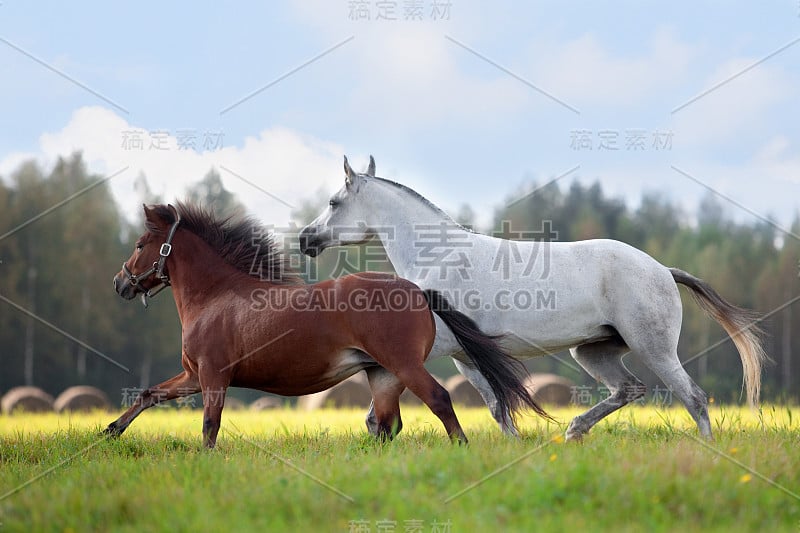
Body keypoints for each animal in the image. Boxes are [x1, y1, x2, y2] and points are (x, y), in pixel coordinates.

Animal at [106, 203, 548, 444]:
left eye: (141, 245)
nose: (120, 283)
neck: (215, 297)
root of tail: (419, 292)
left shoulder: (214, 376)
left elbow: (209, 427)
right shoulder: (193, 376)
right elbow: (148, 394)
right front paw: (110, 431)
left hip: (403, 366)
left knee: (438, 400)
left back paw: (461, 447)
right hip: (383, 375)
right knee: (387, 424)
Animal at [296, 155, 764, 440]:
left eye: (334, 202)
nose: (305, 239)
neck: (437, 256)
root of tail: (663, 270)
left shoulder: (436, 348)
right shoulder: (466, 358)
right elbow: (497, 407)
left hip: (655, 348)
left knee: (693, 397)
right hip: (592, 352)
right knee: (630, 389)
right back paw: (575, 430)